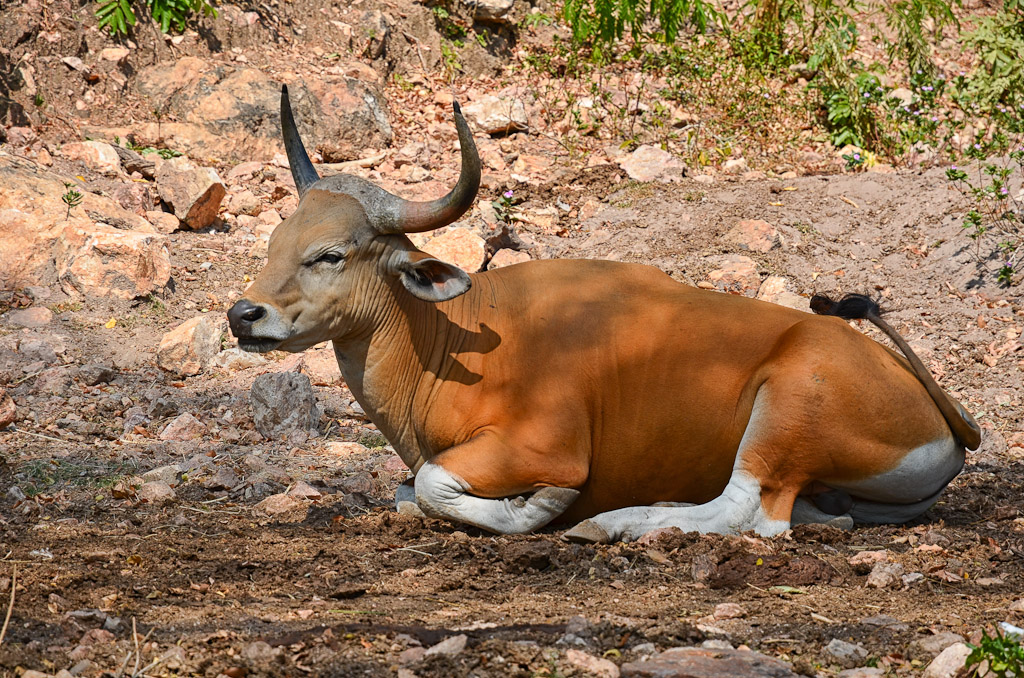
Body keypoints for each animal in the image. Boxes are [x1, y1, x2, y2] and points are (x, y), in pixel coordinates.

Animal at [227, 85, 981, 543]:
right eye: (275, 244)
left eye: (330, 254)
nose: (244, 314)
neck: (447, 344)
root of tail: (944, 414)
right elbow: (406, 491)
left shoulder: (545, 447)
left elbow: (437, 483)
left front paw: (542, 508)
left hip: (789, 406)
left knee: (753, 512)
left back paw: (617, 521)